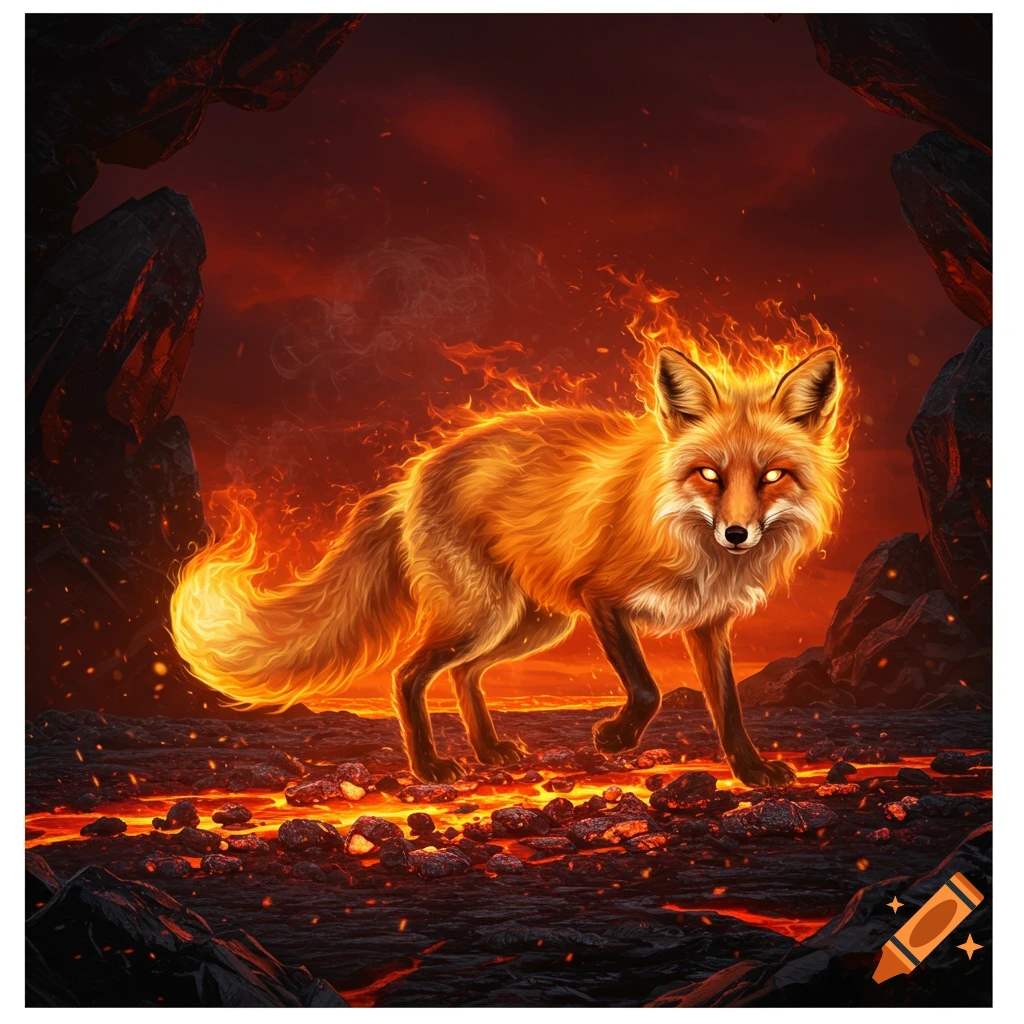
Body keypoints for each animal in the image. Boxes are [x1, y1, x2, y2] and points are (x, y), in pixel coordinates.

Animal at [171, 345, 846, 787]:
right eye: (709, 473)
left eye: (772, 476)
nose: (737, 534)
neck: (685, 535)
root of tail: (411, 480)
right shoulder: (602, 597)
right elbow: (648, 688)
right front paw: (616, 738)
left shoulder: (707, 626)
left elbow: (728, 710)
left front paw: (751, 770)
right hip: (489, 616)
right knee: (408, 675)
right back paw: (430, 767)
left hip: (533, 624)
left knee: (464, 676)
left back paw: (488, 749)